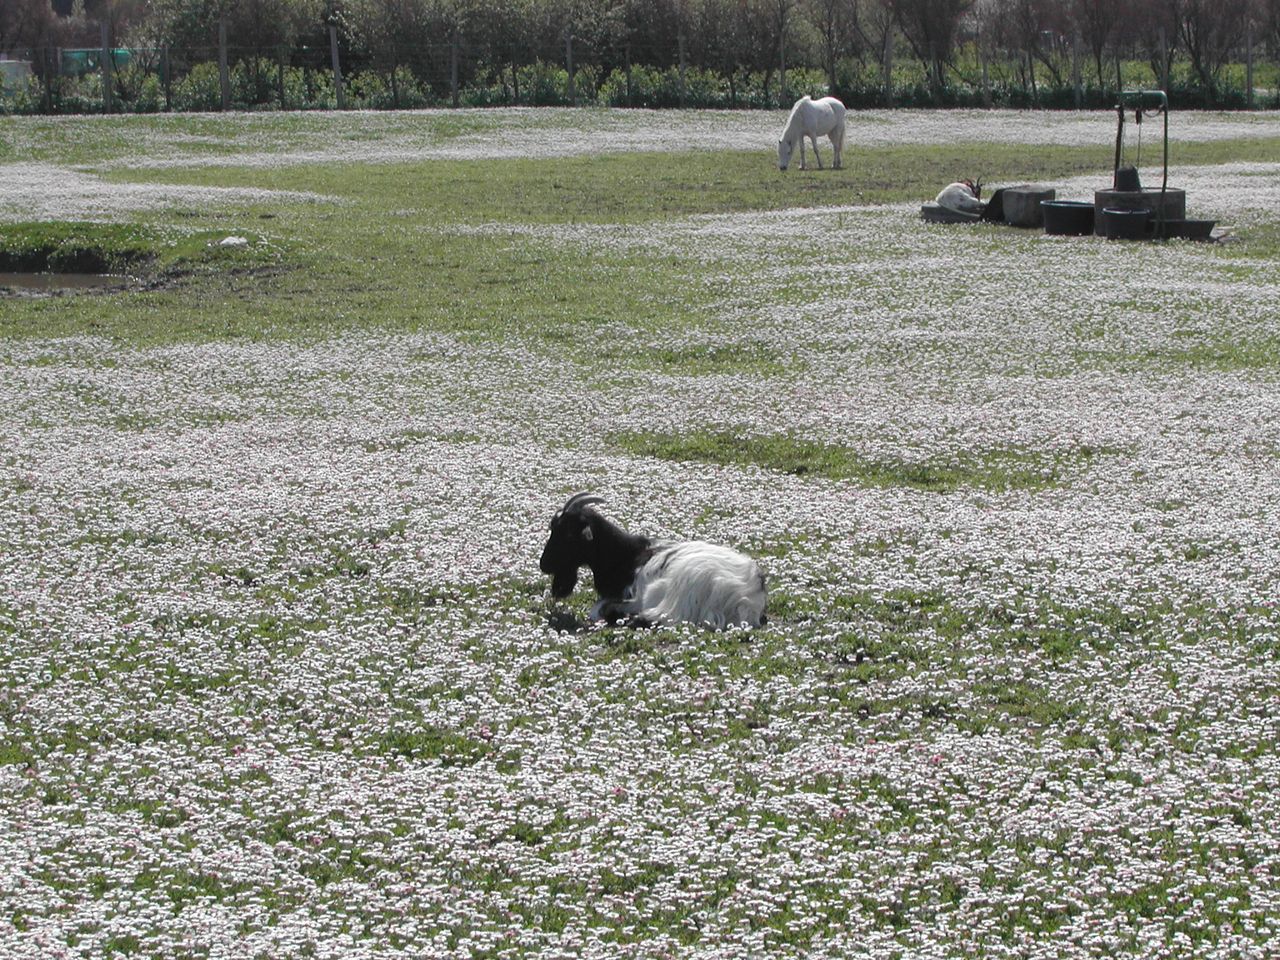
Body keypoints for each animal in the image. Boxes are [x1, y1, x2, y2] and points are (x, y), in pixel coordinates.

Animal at [537, 496, 762, 632]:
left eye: (568, 534)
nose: (543, 565)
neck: (625, 556)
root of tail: (748, 595)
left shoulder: (635, 597)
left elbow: (597, 609)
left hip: (688, 584)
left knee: (663, 616)